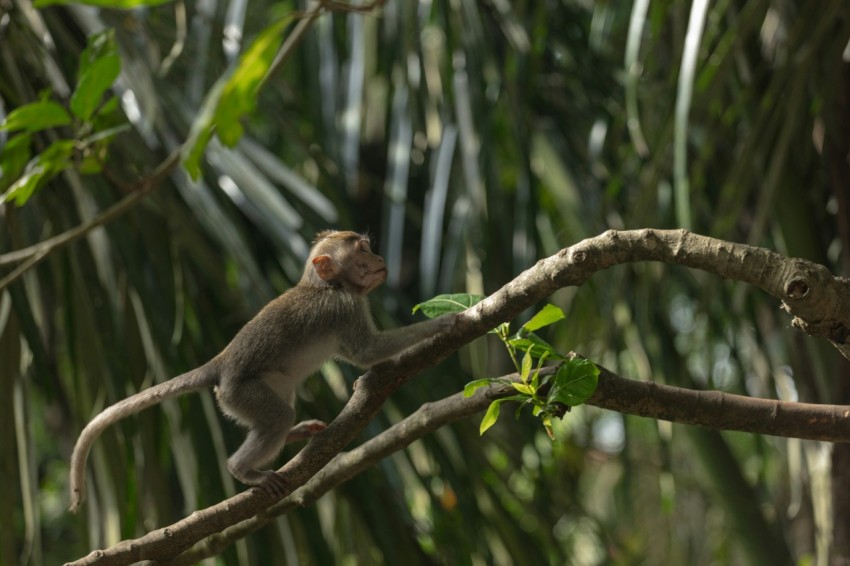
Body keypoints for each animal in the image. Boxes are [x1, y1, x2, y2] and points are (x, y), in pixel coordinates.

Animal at [69, 231, 454, 516]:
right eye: (363, 250)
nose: (380, 261)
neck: (328, 286)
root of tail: (220, 364)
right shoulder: (343, 308)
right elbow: (366, 352)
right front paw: (443, 323)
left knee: (278, 411)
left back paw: (296, 434)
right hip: (240, 393)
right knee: (276, 417)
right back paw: (243, 469)